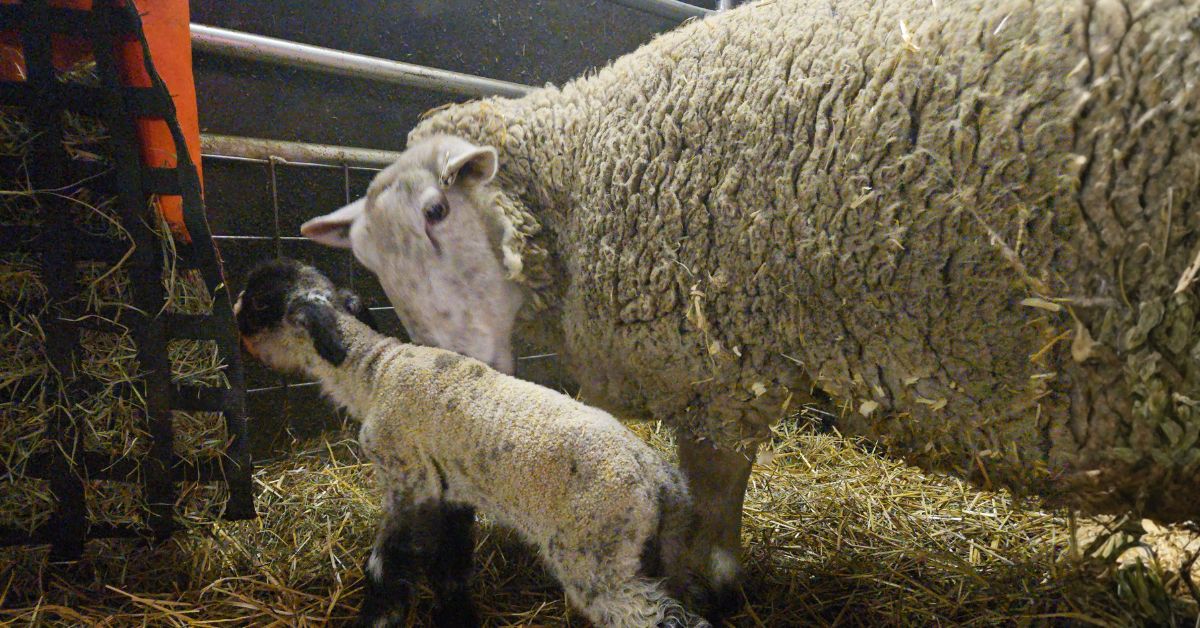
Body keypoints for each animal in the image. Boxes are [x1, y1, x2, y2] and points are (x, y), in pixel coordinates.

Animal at [234, 258, 713, 628]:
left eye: (259, 301)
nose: (234, 308)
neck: (375, 372)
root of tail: (659, 476)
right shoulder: (451, 491)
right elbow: (452, 567)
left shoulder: (407, 477)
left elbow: (386, 565)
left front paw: (377, 617)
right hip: (663, 549)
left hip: (596, 553)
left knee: (656, 614)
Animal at [300, 0, 1200, 602]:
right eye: (368, 261)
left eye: (438, 211)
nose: (449, 373)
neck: (585, 173)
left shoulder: (712, 370)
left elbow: (714, 512)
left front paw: (708, 586)